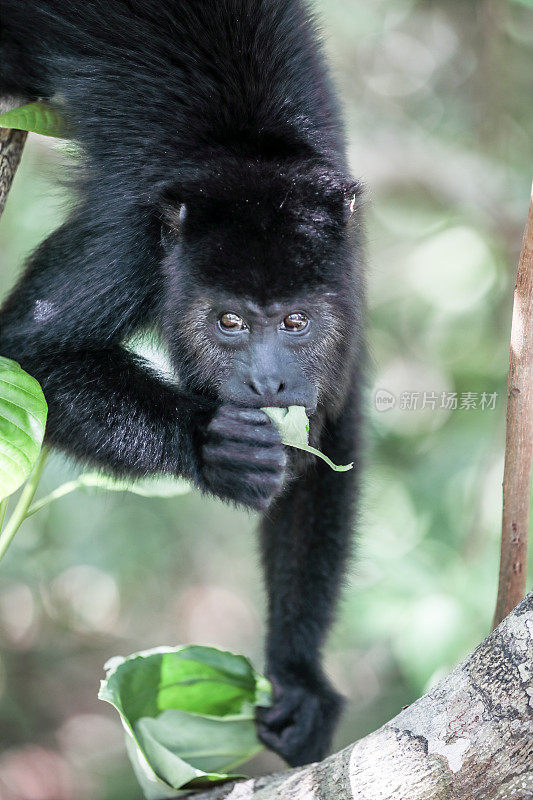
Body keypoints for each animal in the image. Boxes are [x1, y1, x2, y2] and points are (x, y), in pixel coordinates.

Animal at [0, 0, 364, 764]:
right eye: (228, 321)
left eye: (295, 321)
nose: (268, 383)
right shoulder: (130, 240)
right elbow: (32, 350)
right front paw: (209, 446)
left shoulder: (347, 264)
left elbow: (331, 432)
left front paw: (299, 680)